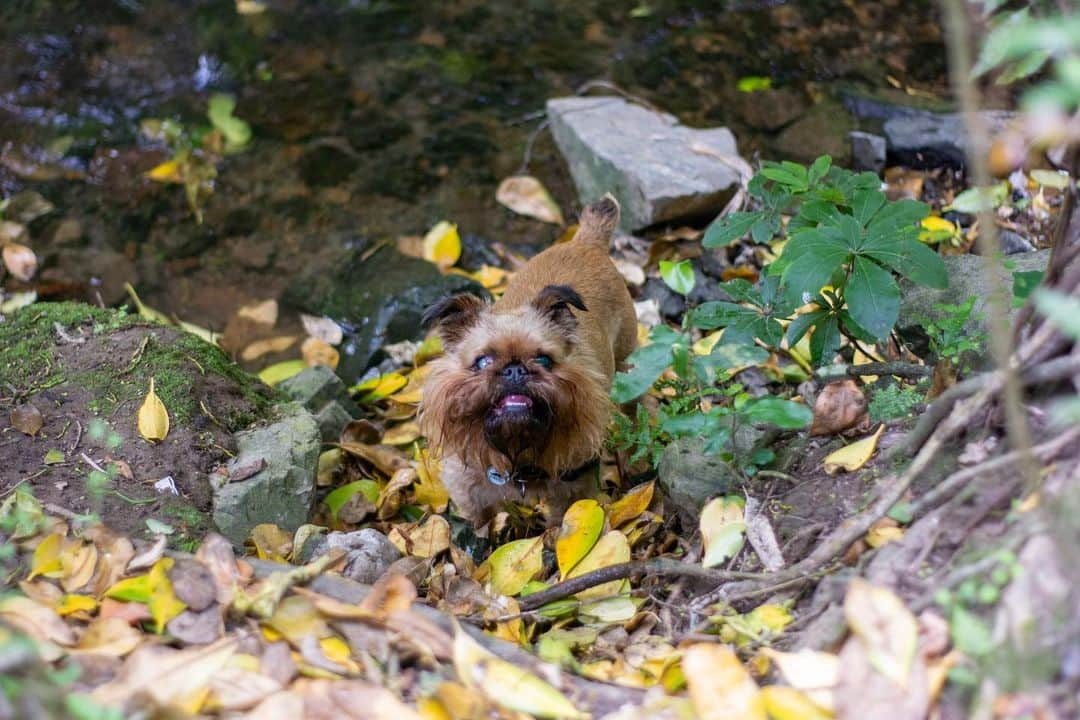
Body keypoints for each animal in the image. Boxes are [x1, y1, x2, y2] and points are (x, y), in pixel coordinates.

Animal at [419, 194, 639, 526]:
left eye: (544, 360)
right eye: (482, 362)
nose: (514, 370)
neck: (517, 455)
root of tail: (585, 242)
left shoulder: (574, 492)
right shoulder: (469, 492)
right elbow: (479, 525)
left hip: (629, 360)